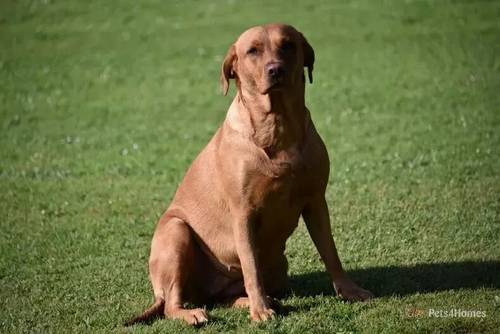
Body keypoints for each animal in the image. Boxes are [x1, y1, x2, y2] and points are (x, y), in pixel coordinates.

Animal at [127, 23, 374, 326]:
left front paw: (349, 290)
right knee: (171, 304)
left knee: (230, 295)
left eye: (288, 45)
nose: (276, 69)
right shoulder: (243, 212)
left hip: (278, 266)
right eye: (252, 51)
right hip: (175, 232)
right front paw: (260, 310)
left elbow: (330, 251)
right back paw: (196, 312)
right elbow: (250, 266)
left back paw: (255, 300)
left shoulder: (316, 200)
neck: (277, 125)